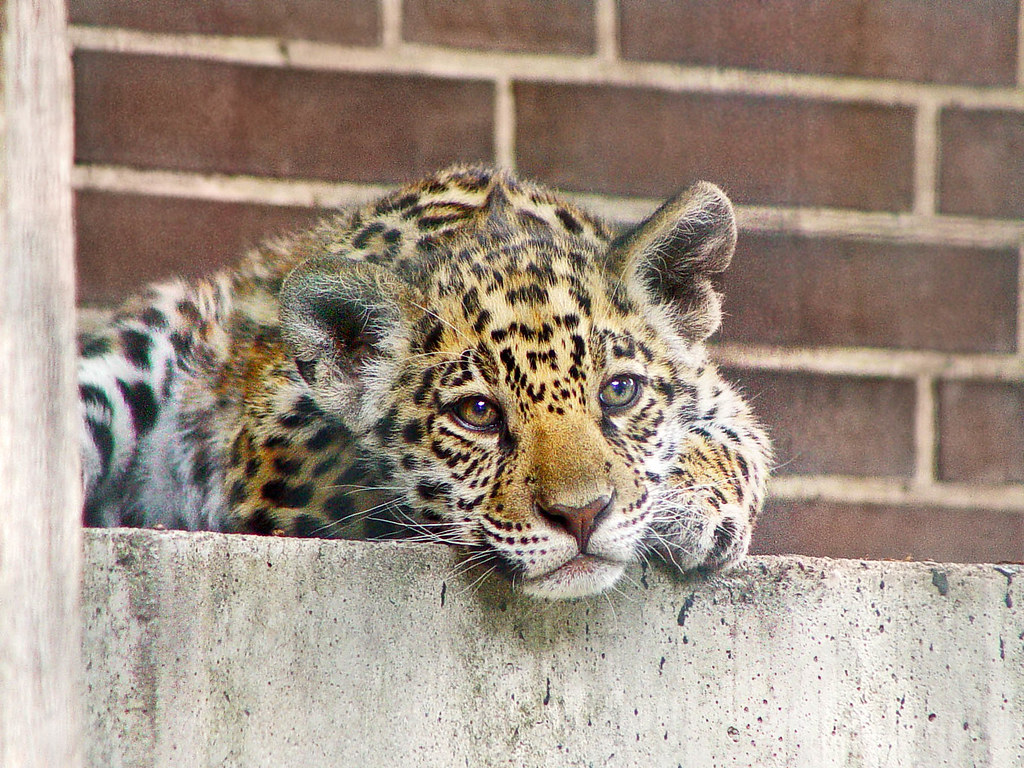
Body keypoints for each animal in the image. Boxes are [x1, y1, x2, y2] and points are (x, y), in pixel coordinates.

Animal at [78, 165, 770, 599]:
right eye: (477, 414)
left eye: (619, 393)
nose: (581, 517)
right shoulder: (272, 454)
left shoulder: (723, 400)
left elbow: (736, 448)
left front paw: (686, 508)